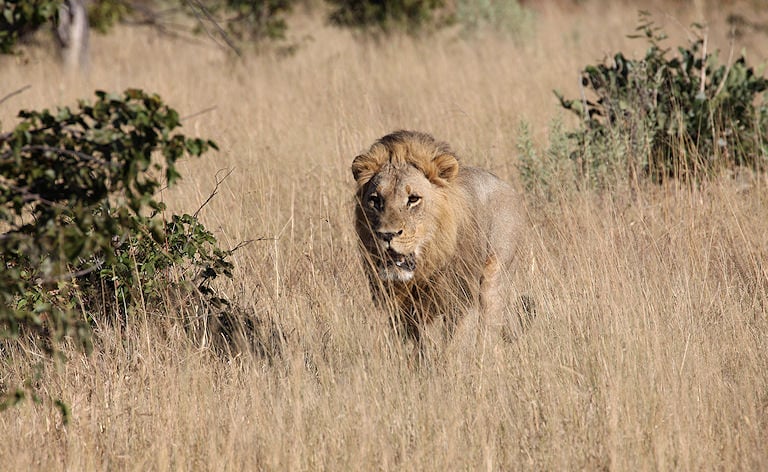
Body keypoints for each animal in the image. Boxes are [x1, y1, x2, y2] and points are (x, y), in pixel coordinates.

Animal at [351, 130, 523, 346]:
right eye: (375, 200)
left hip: (495, 277)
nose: (387, 234)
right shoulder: (400, 308)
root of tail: (507, 186)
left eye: (413, 199)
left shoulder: (461, 299)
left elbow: (454, 347)